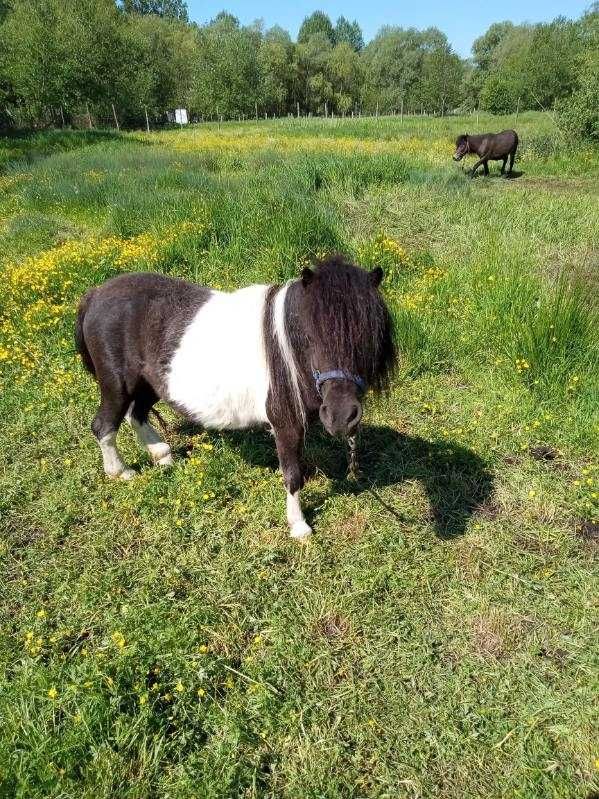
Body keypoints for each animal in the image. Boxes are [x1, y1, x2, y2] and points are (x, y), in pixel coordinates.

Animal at [76, 260, 398, 540]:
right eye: (309, 336)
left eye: (370, 335)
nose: (341, 417)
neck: (288, 348)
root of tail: (95, 294)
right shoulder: (285, 422)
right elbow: (293, 474)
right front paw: (299, 527)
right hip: (117, 384)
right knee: (104, 425)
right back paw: (121, 472)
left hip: (150, 382)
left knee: (137, 414)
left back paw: (163, 456)